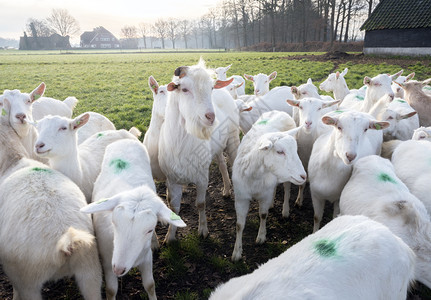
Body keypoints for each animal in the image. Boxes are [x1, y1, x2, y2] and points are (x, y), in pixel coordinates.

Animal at [159, 59, 233, 243]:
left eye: (211, 88)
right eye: (184, 89)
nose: (211, 117)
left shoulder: (202, 177)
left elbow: (201, 203)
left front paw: (203, 230)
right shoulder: (172, 179)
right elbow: (174, 207)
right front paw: (170, 237)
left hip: (233, 139)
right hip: (217, 147)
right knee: (222, 164)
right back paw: (227, 190)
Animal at [231, 111, 306, 262]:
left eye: (295, 150)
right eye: (279, 151)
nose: (303, 176)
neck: (255, 175)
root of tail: (280, 112)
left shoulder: (264, 195)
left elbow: (263, 215)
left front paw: (261, 236)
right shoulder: (241, 197)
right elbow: (239, 225)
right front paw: (236, 252)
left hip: (287, 177)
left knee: (287, 188)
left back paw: (285, 210)